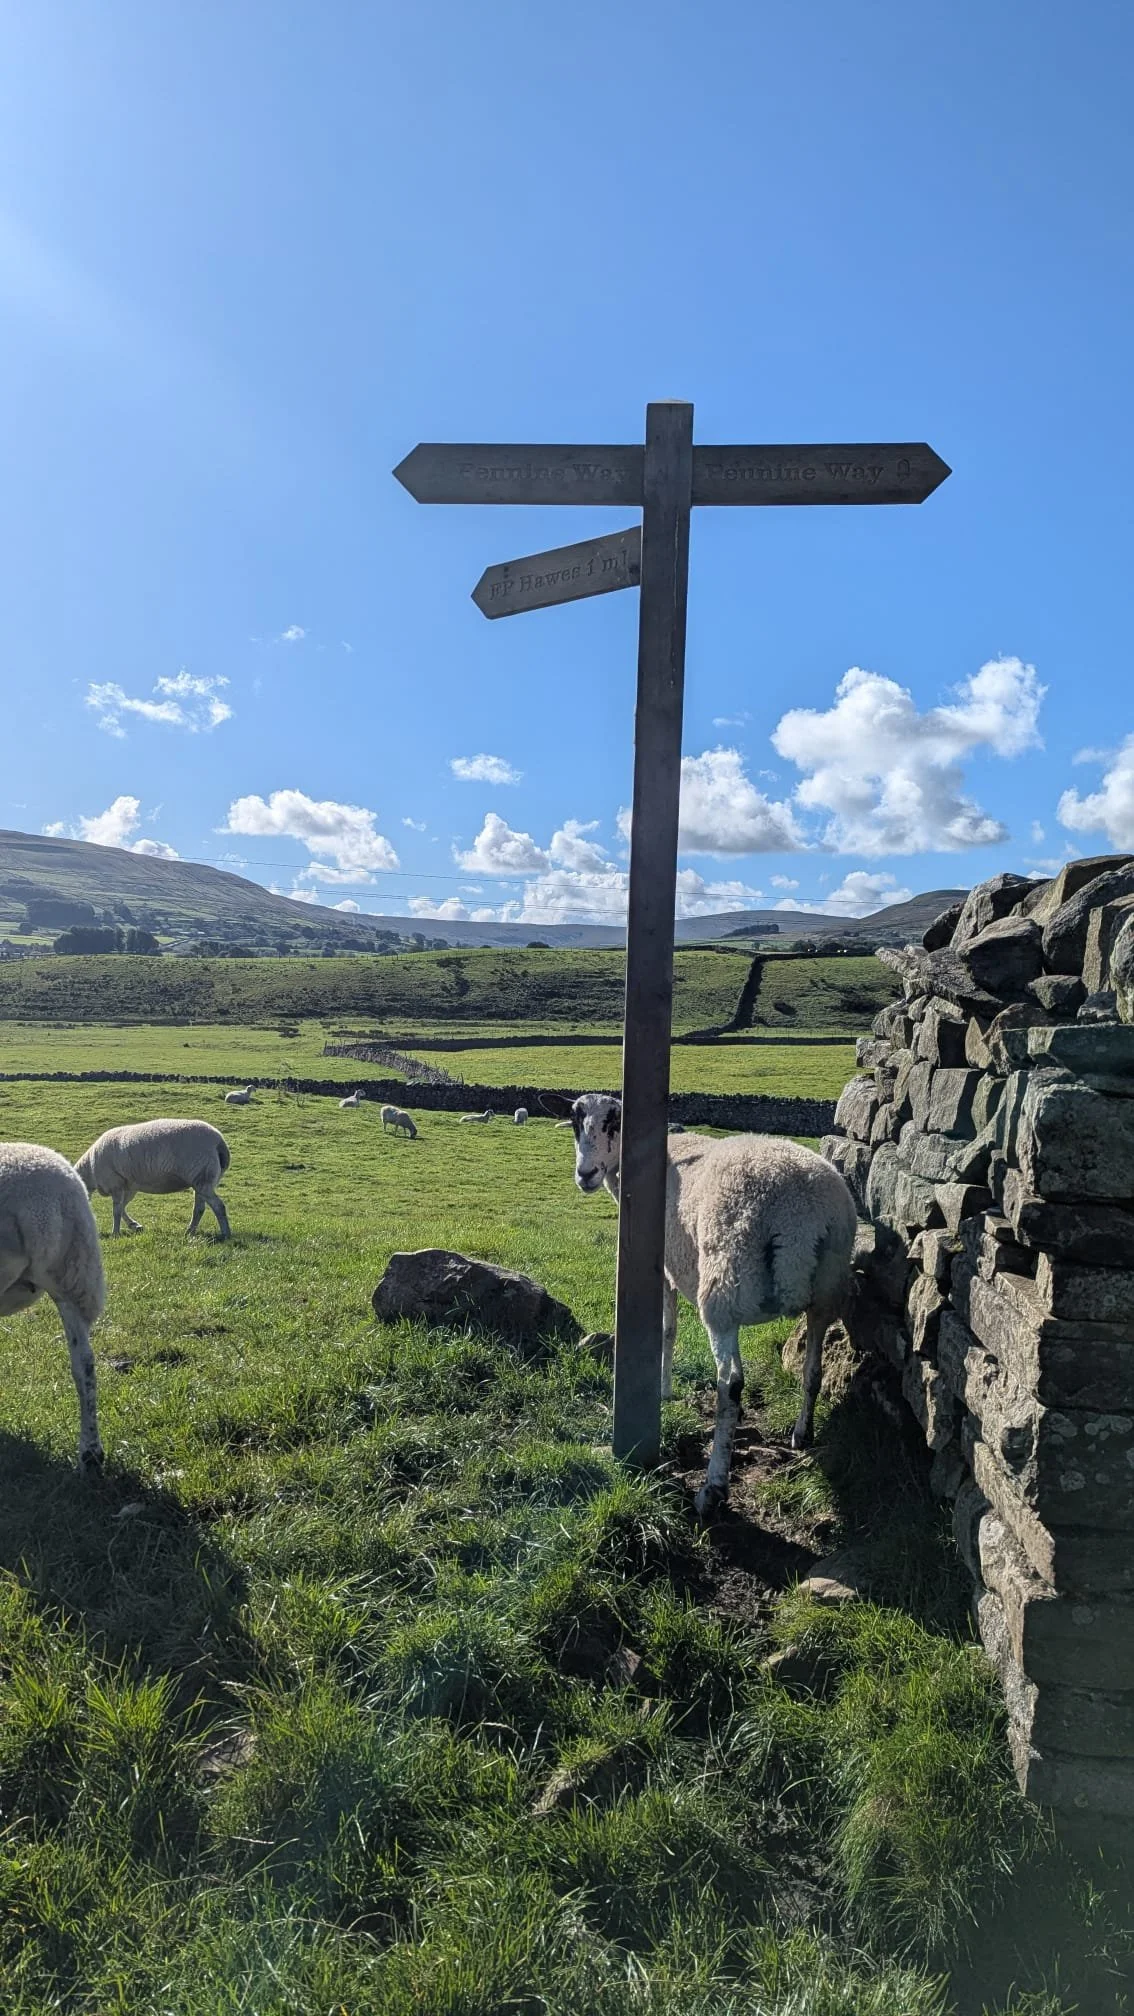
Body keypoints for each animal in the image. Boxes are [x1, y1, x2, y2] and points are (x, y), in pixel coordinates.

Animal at [75, 1119, 232, 1241]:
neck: (90, 1171)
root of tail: (220, 1143)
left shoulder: (116, 1183)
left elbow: (117, 1211)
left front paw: (115, 1233)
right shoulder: (130, 1186)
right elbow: (123, 1207)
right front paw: (135, 1226)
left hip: (203, 1176)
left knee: (218, 1206)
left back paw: (225, 1234)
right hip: (201, 1180)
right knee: (199, 1209)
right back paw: (190, 1231)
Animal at [543, 1092, 856, 1517]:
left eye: (614, 1122)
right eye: (575, 1122)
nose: (585, 1174)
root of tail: (799, 1214)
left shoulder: (663, 1267)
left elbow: (667, 1331)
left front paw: (662, 1391)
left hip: (724, 1289)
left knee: (732, 1385)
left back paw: (713, 1488)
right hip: (826, 1289)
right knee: (813, 1370)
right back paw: (801, 1434)